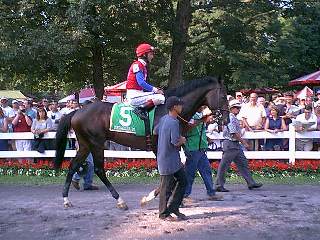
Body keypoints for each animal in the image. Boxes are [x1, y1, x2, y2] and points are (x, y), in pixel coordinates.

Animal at [55, 77, 230, 210]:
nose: (226, 120)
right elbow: (168, 172)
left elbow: (180, 167)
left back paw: (66, 199)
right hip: (96, 143)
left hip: (85, 144)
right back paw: (120, 201)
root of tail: (77, 111)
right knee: (99, 169)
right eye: (223, 96)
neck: (170, 111)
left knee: (73, 166)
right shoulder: (158, 146)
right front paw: (151, 197)